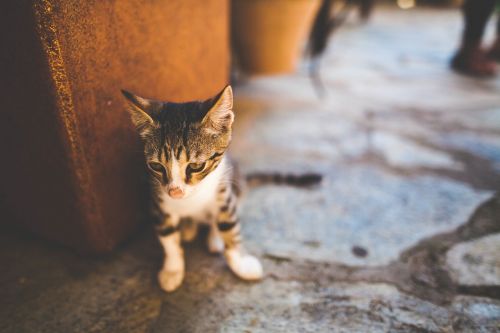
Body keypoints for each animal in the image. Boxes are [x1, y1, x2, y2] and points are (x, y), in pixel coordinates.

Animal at [122, 85, 262, 290]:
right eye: (156, 166)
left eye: (196, 166)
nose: (175, 192)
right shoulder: (158, 202)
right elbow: (168, 237)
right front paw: (173, 270)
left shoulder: (224, 191)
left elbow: (229, 226)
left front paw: (240, 263)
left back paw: (214, 238)